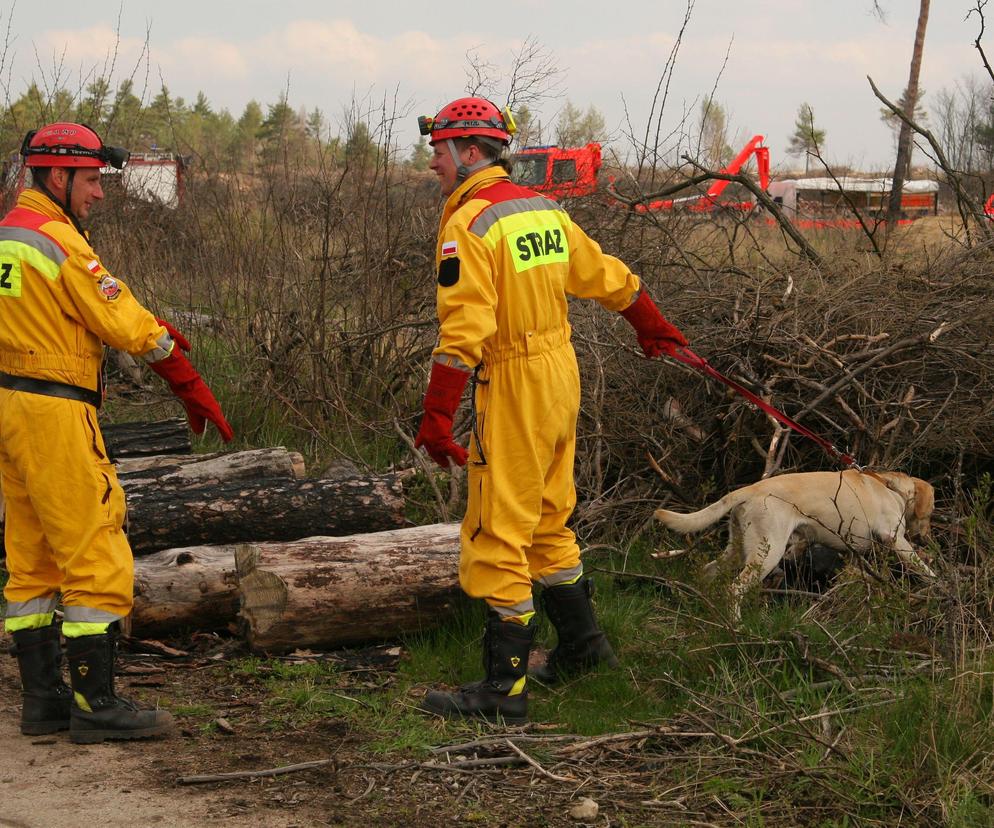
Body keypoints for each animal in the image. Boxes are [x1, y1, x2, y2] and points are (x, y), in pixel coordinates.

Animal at [656, 468, 932, 616]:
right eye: (930, 512)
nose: (925, 538)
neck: (891, 487)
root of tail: (749, 490)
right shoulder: (894, 538)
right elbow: (924, 568)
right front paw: (936, 583)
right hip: (767, 553)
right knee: (734, 589)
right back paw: (738, 627)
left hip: (737, 549)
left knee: (708, 571)